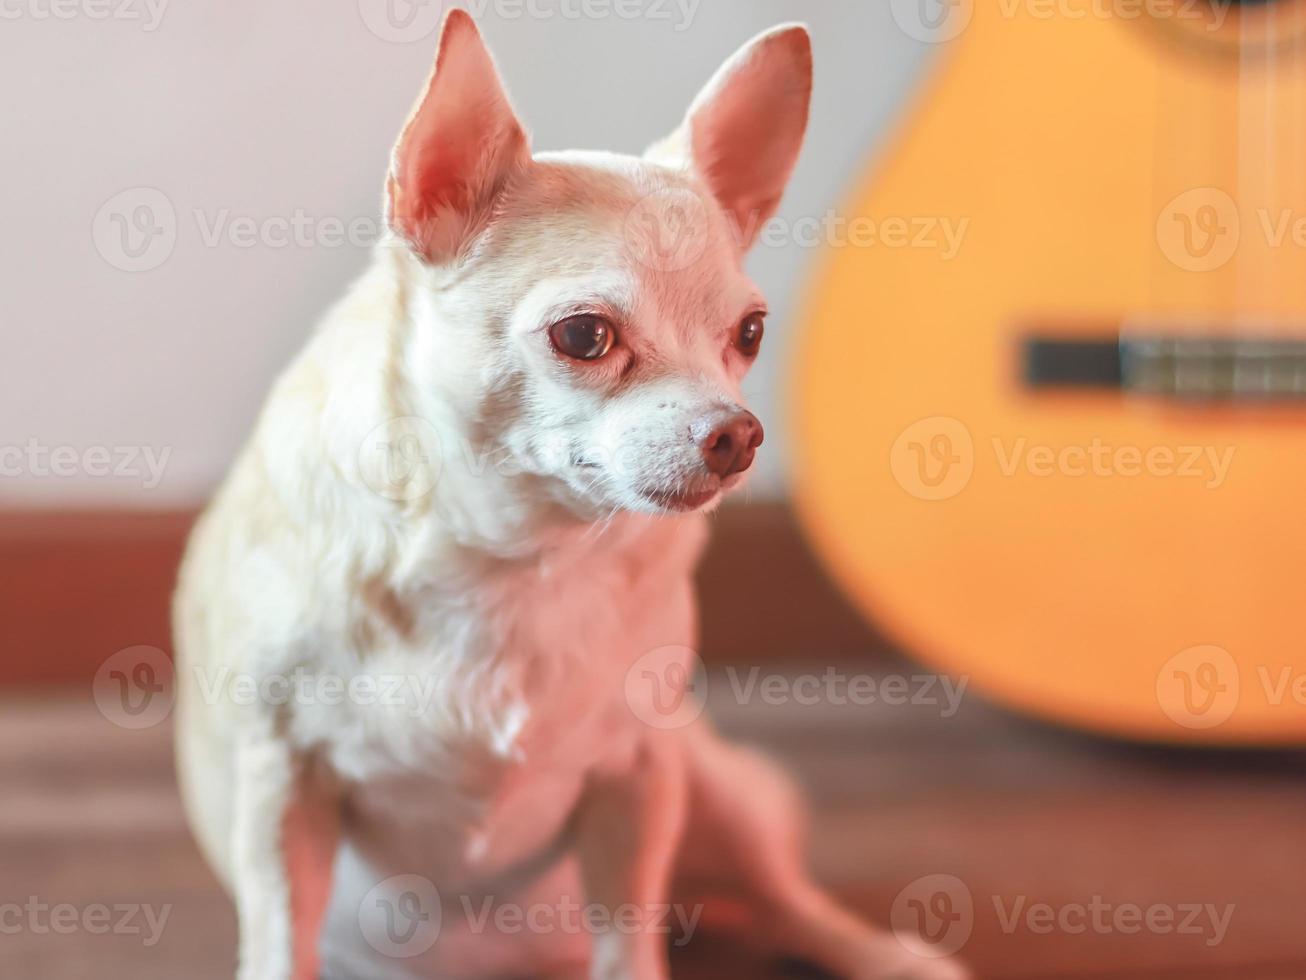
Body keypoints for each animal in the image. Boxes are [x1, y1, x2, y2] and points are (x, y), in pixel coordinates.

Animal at [173, 13, 971, 980]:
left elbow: (630, 941)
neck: (519, 557)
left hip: (716, 792)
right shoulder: (282, 790)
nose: (738, 434)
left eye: (749, 333)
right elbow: (280, 942)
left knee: (785, 902)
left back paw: (887, 954)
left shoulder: (639, 780)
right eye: (584, 336)